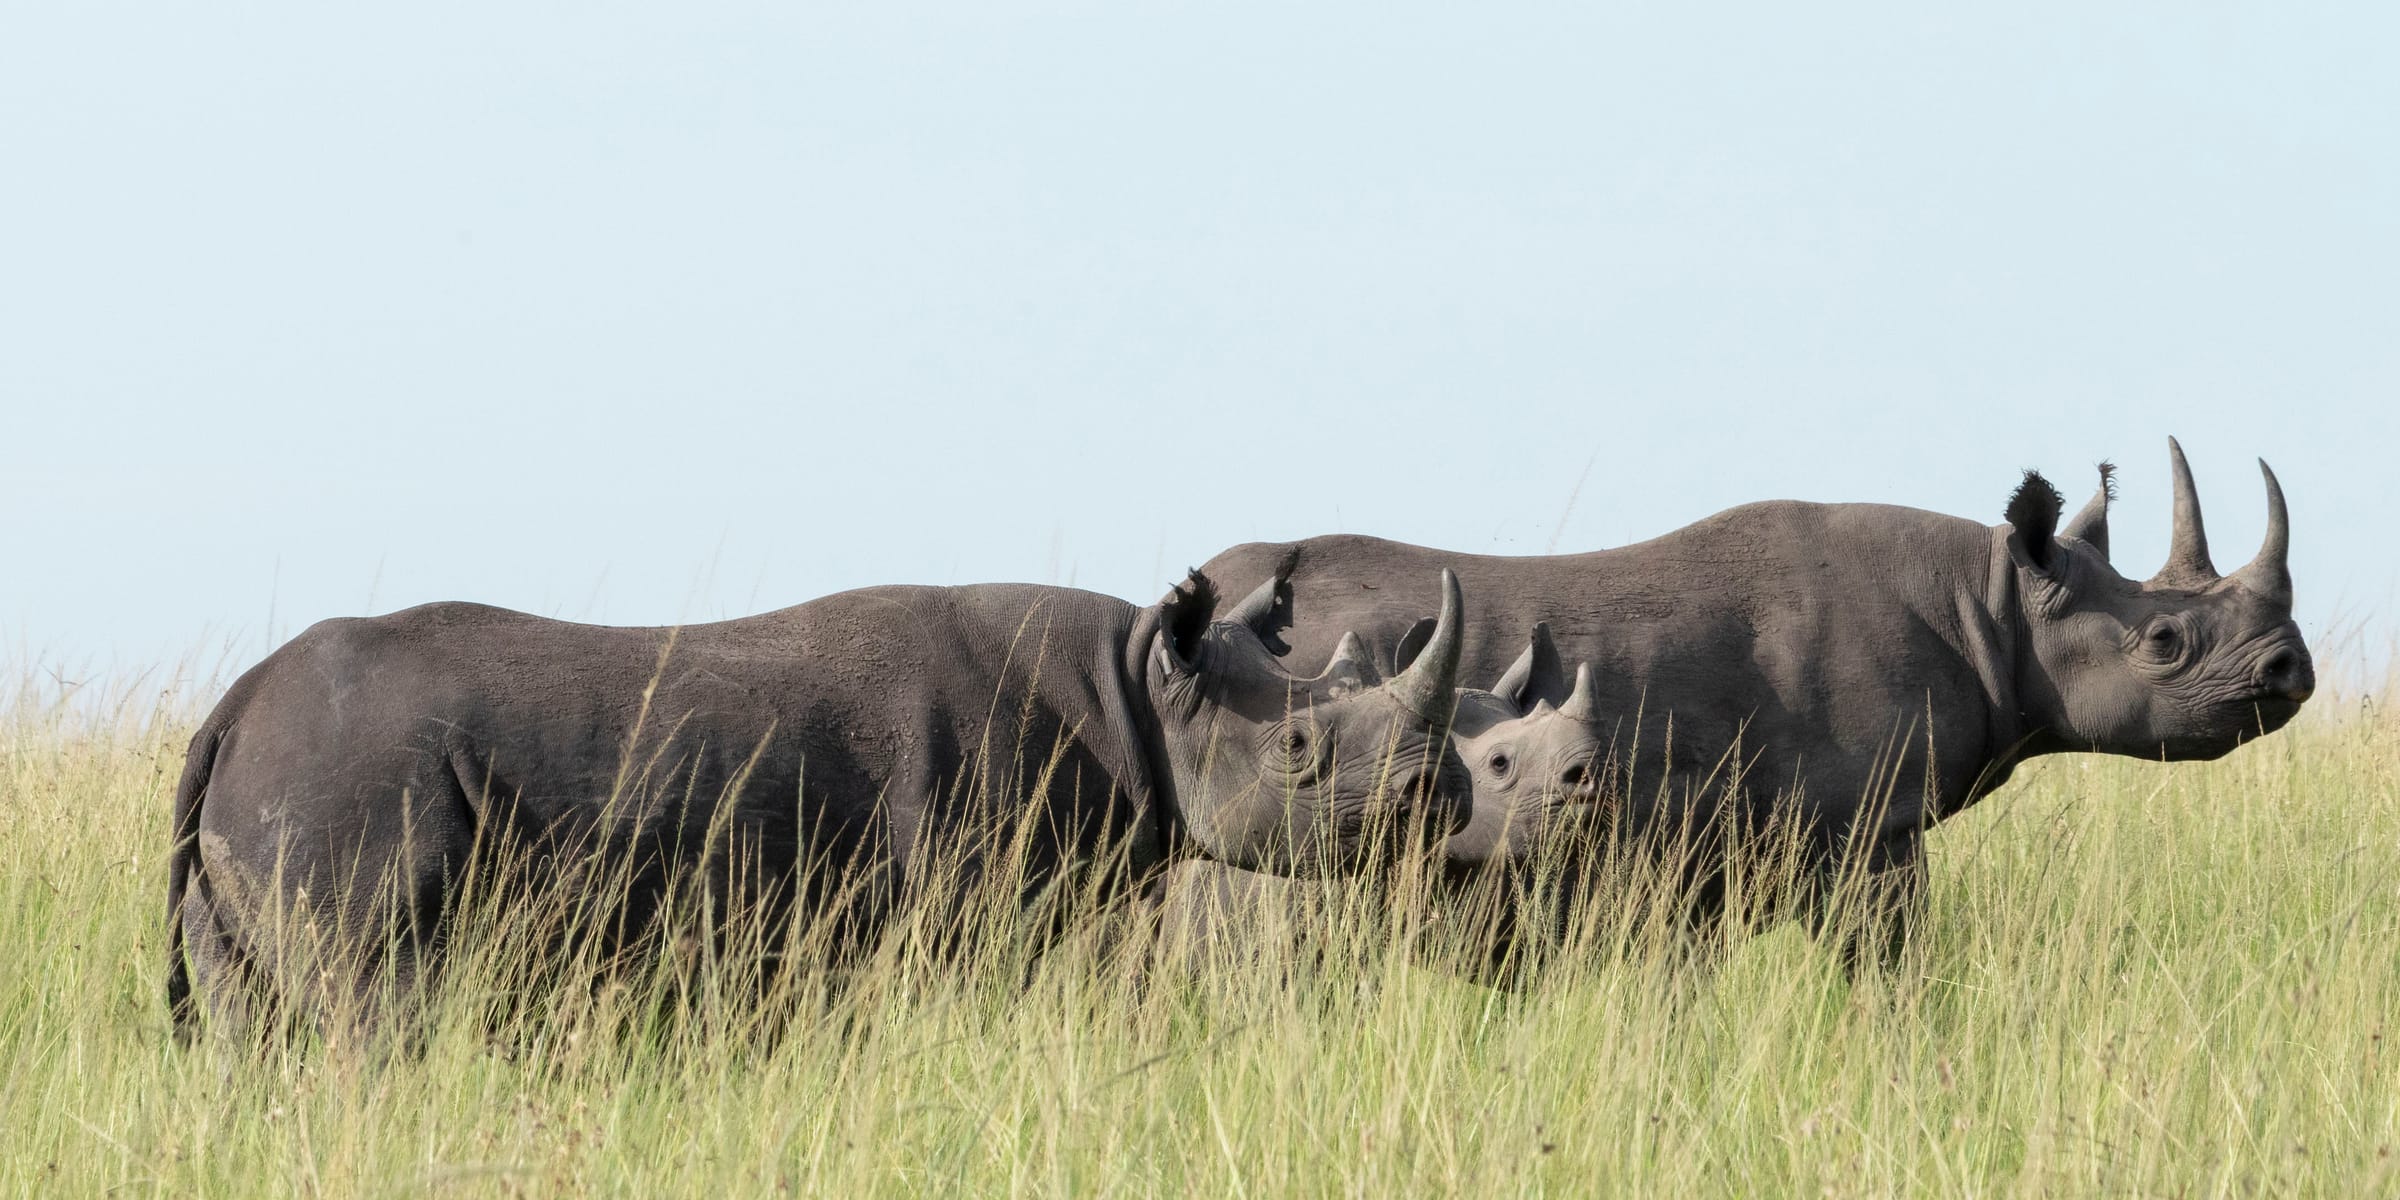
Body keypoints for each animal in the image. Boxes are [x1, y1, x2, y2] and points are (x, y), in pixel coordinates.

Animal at [165, 565, 1476, 1037]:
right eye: (1300, 748)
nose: (1438, 798)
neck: (1143, 685)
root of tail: (233, 708)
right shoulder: (968, 909)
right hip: (346, 781)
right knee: (378, 1009)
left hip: (290, 778)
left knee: (252, 1033)